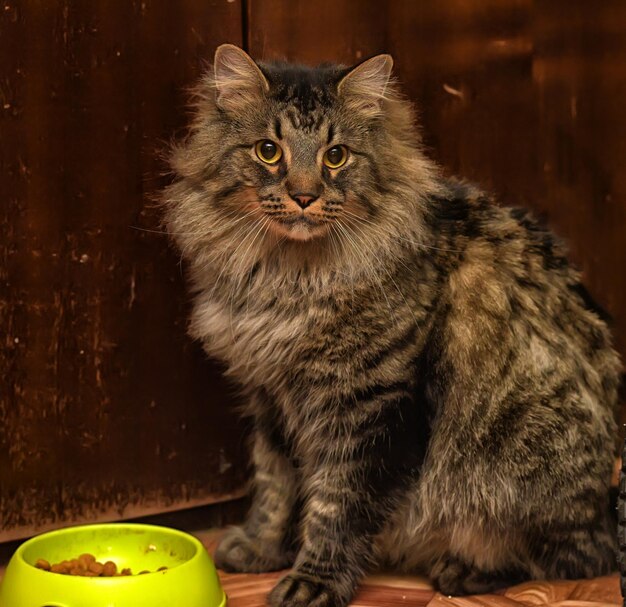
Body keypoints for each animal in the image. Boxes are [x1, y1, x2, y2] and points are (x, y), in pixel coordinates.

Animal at [161, 45, 620, 604]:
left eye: (336, 156)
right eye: (268, 151)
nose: (304, 195)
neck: (289, 280)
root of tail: (606, 510)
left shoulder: (373, 406)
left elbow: (336, 507)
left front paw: (312, 581)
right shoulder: (270, 396)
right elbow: (274, 485)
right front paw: (261, 549)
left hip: (513, 467)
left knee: (566, 557)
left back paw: (463, 570)